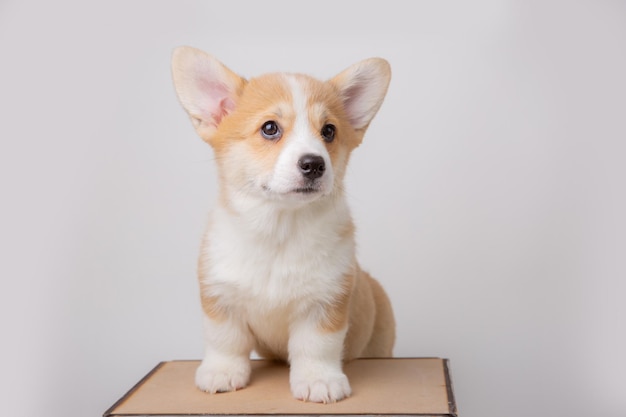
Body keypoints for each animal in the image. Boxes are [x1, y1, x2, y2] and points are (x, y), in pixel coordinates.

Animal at [171, 46, 394, 404]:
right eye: (270, 128)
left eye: (329, 131)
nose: (314, 164)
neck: (279, 228)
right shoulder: (220, 297)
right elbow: (225, 341)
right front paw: (221, 373)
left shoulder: (324, 304)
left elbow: (316, 347)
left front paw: (319, 381)